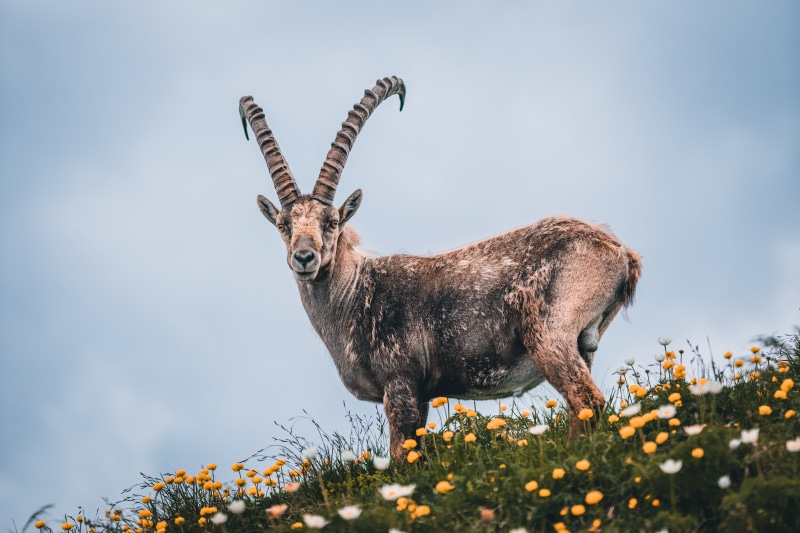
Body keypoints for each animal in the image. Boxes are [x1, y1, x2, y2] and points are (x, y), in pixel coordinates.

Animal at [239, 76, 642, 460]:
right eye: (283, 225)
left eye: (332, 222)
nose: (304, 257)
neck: (355, 296)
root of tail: (620, 252)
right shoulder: (421, 396)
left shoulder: (400, 383)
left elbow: (403, 456)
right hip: (583, 346)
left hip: (548, 334)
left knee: (586, 400)